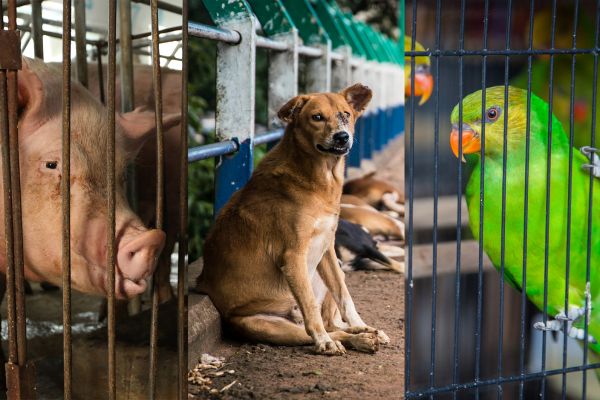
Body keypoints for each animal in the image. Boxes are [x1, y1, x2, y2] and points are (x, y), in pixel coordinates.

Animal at [197, 83, 390, 354]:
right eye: (317, 117)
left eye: (346, 114)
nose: (342, 137)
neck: (320, 178)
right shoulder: (293, 255)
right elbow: (310, 306)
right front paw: (324, 341)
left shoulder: (327, 248)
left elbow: (344, 294)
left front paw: (360, 324)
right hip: (266, 324)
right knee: (318, 328)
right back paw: (345, 339)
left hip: (332, 269)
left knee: (332, 322)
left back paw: (363, 333)